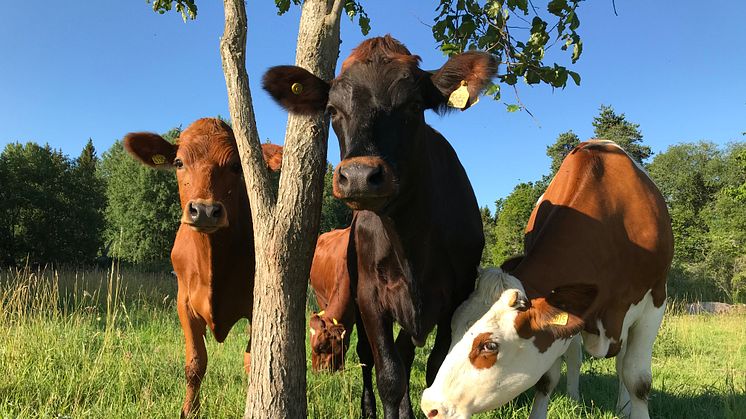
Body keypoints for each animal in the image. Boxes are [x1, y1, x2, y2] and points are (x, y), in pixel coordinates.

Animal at [125, 118, 282, 419]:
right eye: (178, 162)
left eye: (236, 166)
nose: (205, 210)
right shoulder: (183, 303)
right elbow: (195, 363)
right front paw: (189, 410)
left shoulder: (255, 305)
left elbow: (251, 362)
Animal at [418, 141, 676, 419]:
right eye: (453, 328)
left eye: (489, 346)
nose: (430, 405)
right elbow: (547, 379)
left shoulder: (654, 303)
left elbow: (637, 378)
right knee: (575, 357)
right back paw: (574, 399)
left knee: (621, 363)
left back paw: (623, 406)